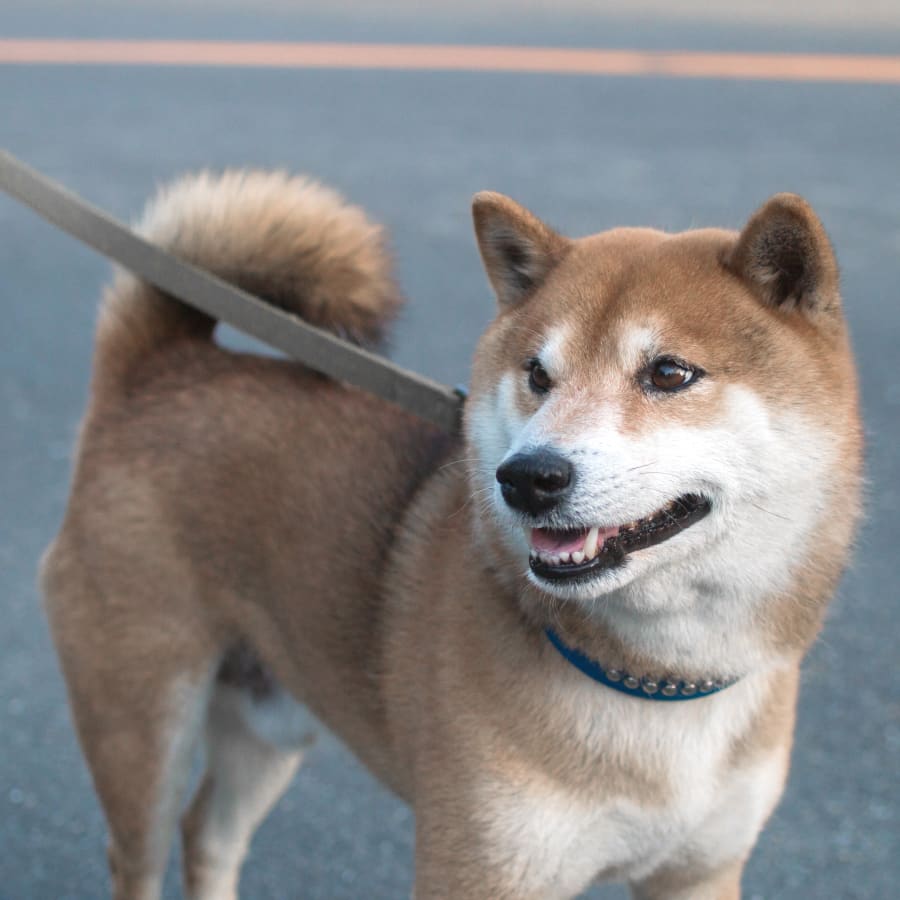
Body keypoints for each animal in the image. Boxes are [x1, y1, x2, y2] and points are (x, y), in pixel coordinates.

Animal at [42, 171, 864, 900]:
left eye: (668, 373)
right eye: (538, 374)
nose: (527, 476)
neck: (656, 682)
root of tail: (163, 369)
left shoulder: (700, 872)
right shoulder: (479, 867)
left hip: (270, 721)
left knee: (208, 837)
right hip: (141, 729)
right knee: (143, 852)